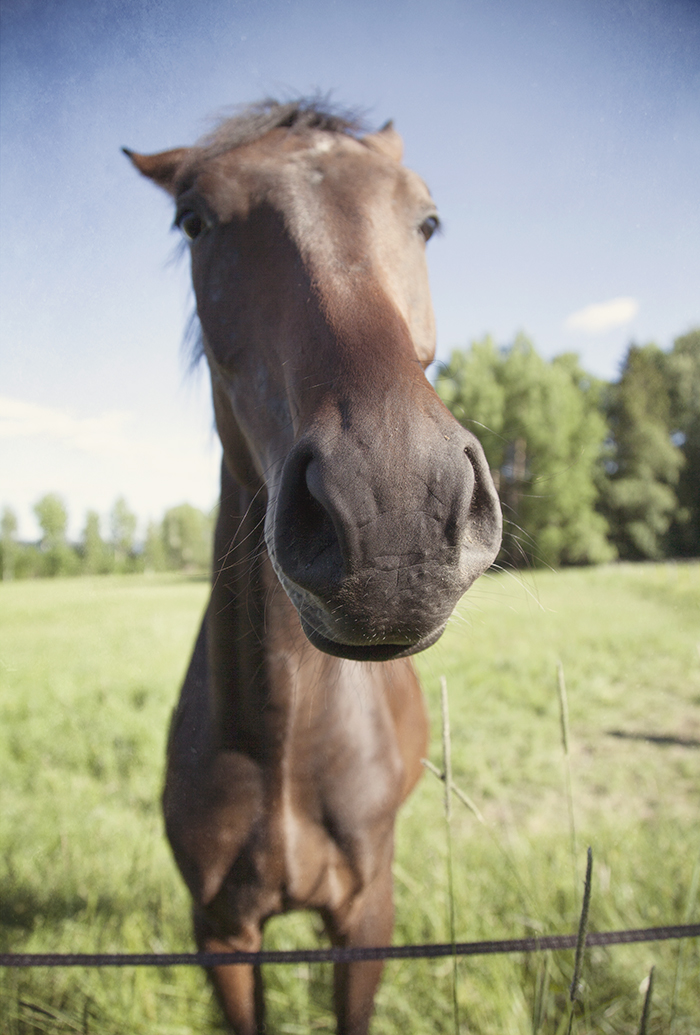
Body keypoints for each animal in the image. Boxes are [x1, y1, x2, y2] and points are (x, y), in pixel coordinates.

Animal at [124, 98, 497, 1035]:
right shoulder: (221, 934)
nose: (394, 503)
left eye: (427, 220)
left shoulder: (364, 920)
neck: (285, 744)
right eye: (195, 220)